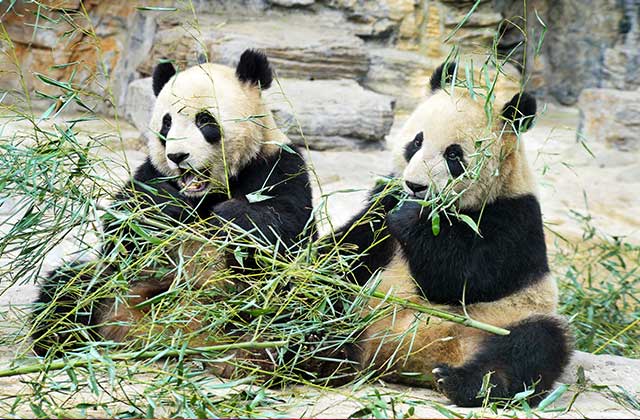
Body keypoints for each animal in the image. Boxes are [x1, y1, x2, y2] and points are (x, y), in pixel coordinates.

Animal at [30, 49, 314, 361]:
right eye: (166, 124)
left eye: (205, 121)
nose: (178, 156)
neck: (207, 193)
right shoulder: (150, 172)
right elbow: (121, 231)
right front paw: (166, 206)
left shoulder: (278, 164)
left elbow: (287, 230)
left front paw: (229, 217)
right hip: (112, 289)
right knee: (68, 287)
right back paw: (62, 340)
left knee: (295, 307)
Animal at [331, 62, 572, 407]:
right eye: (416, 142)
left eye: (454, 155)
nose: (416, 186)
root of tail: (405, 357)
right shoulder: (384, 201)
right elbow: (352, 245)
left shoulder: (515, 216)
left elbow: (467, 277)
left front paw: (411, 218)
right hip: (362, 309)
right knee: (333, 310)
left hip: (506, 320)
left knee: (532, 347)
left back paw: (462, 383)